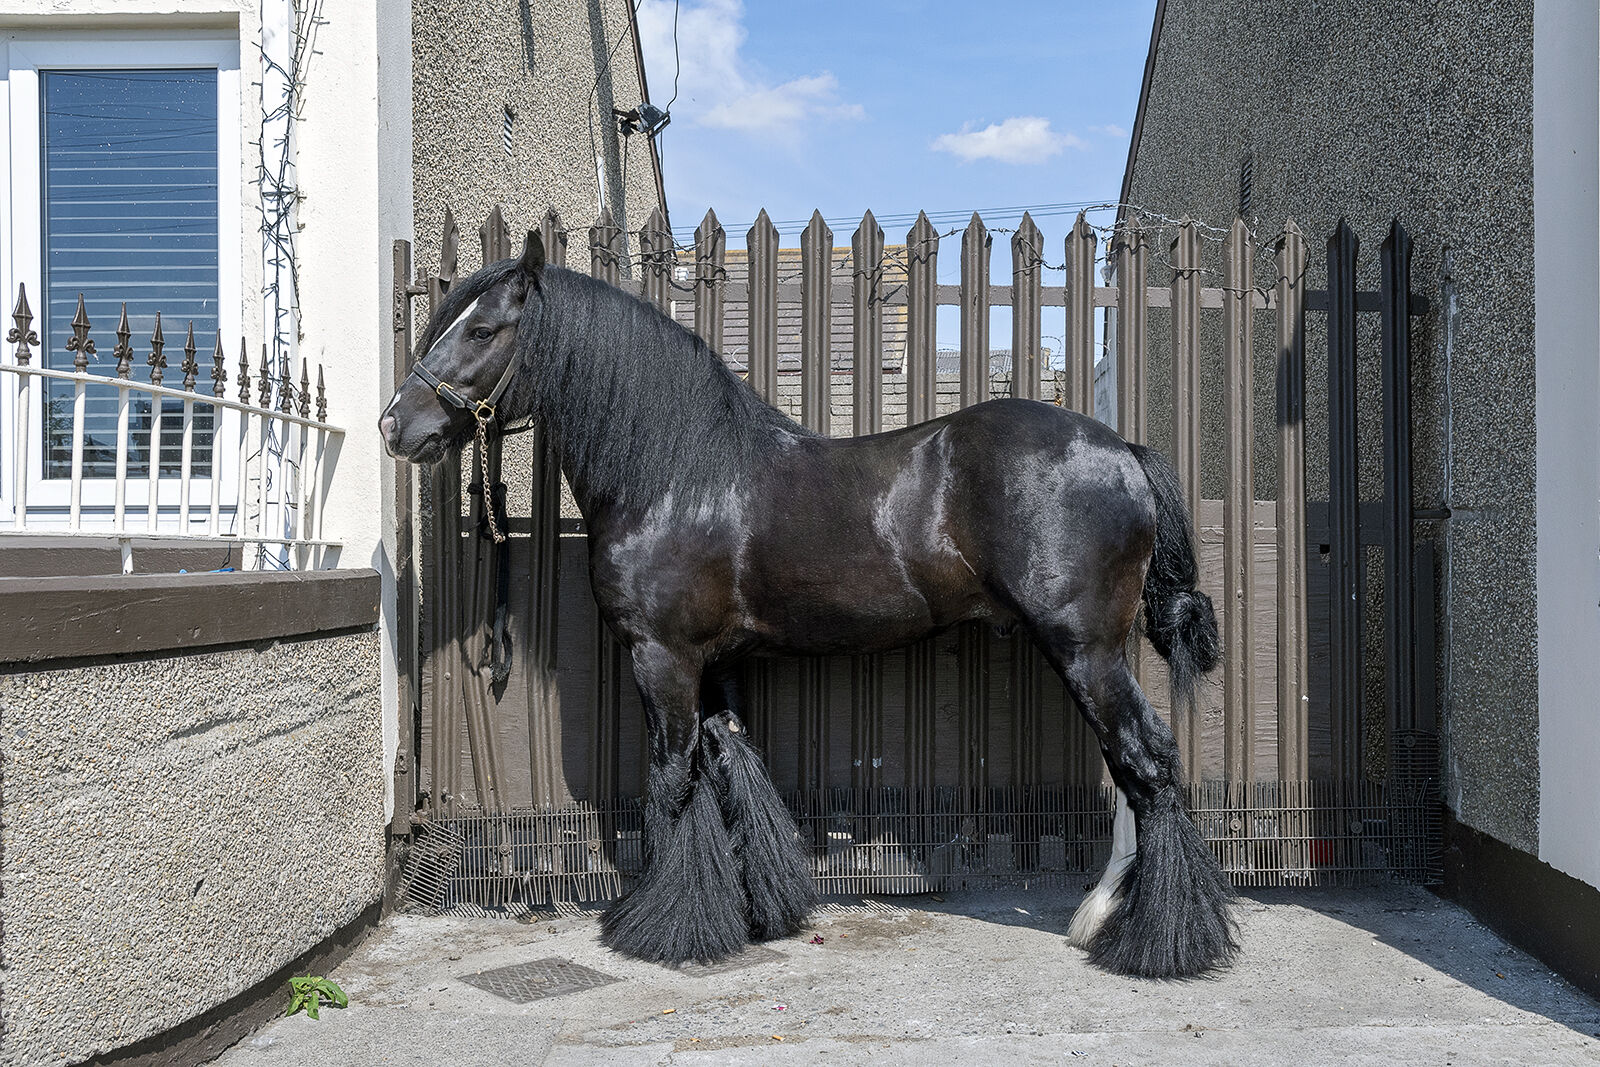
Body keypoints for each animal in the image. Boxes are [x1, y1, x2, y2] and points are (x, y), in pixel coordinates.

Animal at [381, 231, 1237, 978]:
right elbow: (734, 770)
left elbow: (672, 780)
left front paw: (664, 927)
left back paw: (1159, 941)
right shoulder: (714, 664)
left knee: (1147, 765)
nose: (395, 425)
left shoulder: (662, 656)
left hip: (1085, 650)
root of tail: (1123, 452)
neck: (676, 474)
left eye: (481, 328)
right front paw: (759, 908)